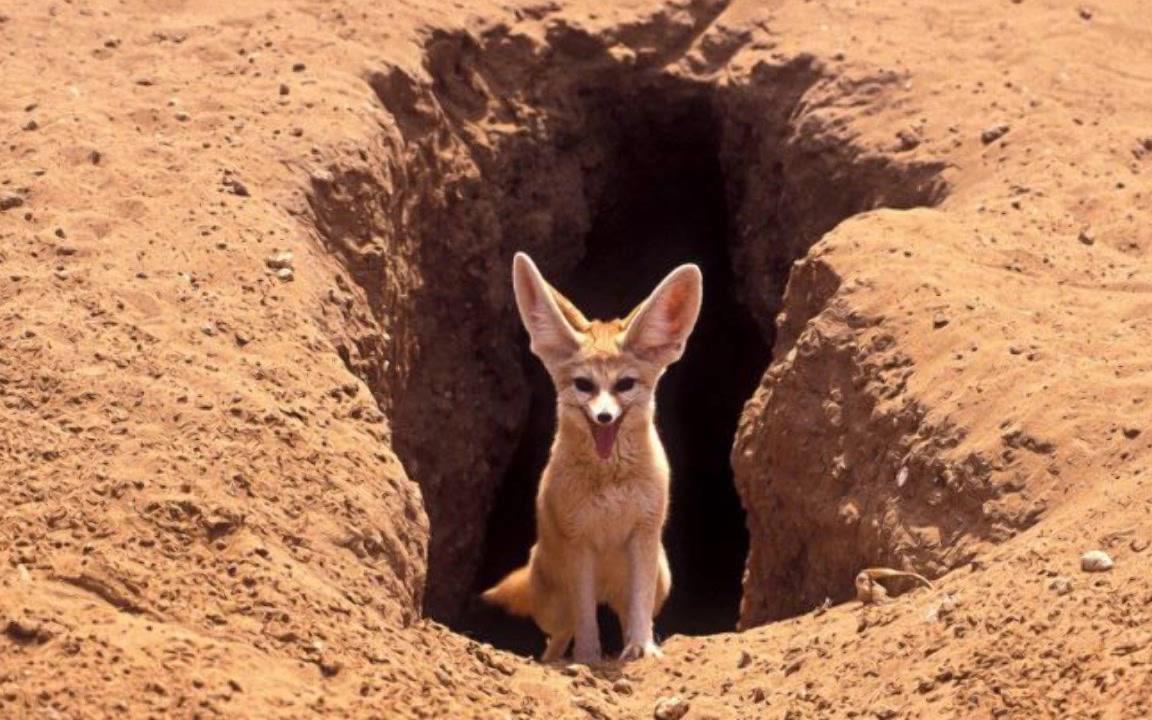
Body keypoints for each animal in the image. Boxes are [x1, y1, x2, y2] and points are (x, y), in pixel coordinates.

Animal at [480, 252, 702, 664]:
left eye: (624, 385)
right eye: (584, 385)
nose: (603, 417)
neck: (611, 482)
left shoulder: (644, 534)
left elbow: (639, 611)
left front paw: (642, 647)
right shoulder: (579, 542)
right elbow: (586, 620)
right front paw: (588, 658)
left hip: (659, 578)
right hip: (556, 606)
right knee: (559, 634)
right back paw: (555, 659)